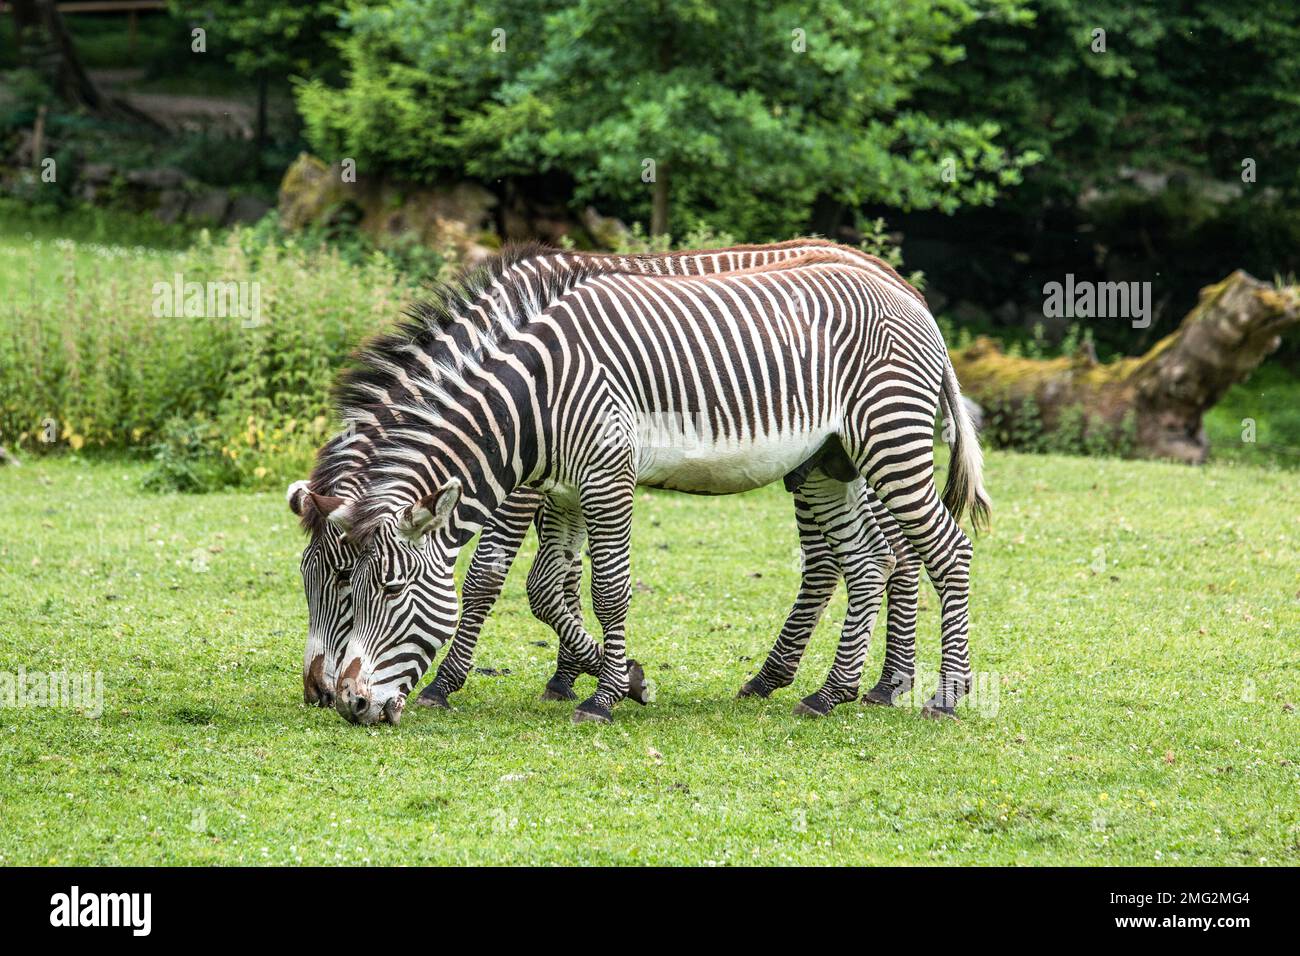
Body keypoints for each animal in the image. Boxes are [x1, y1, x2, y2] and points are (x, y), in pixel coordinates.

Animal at [325, 248, 982, 723]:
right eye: (343, 584)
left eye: (389, 591)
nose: (348, 705)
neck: (533, 400)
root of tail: (910, 296)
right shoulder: (566, 485)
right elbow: (555, 586)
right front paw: (614, 681)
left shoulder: (606, 473)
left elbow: (605, 590)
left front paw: (606, 697)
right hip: (830, 461)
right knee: (868, 562)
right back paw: (831, 694)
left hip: (888, 439)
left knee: (947, 550)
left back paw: (944, 697)